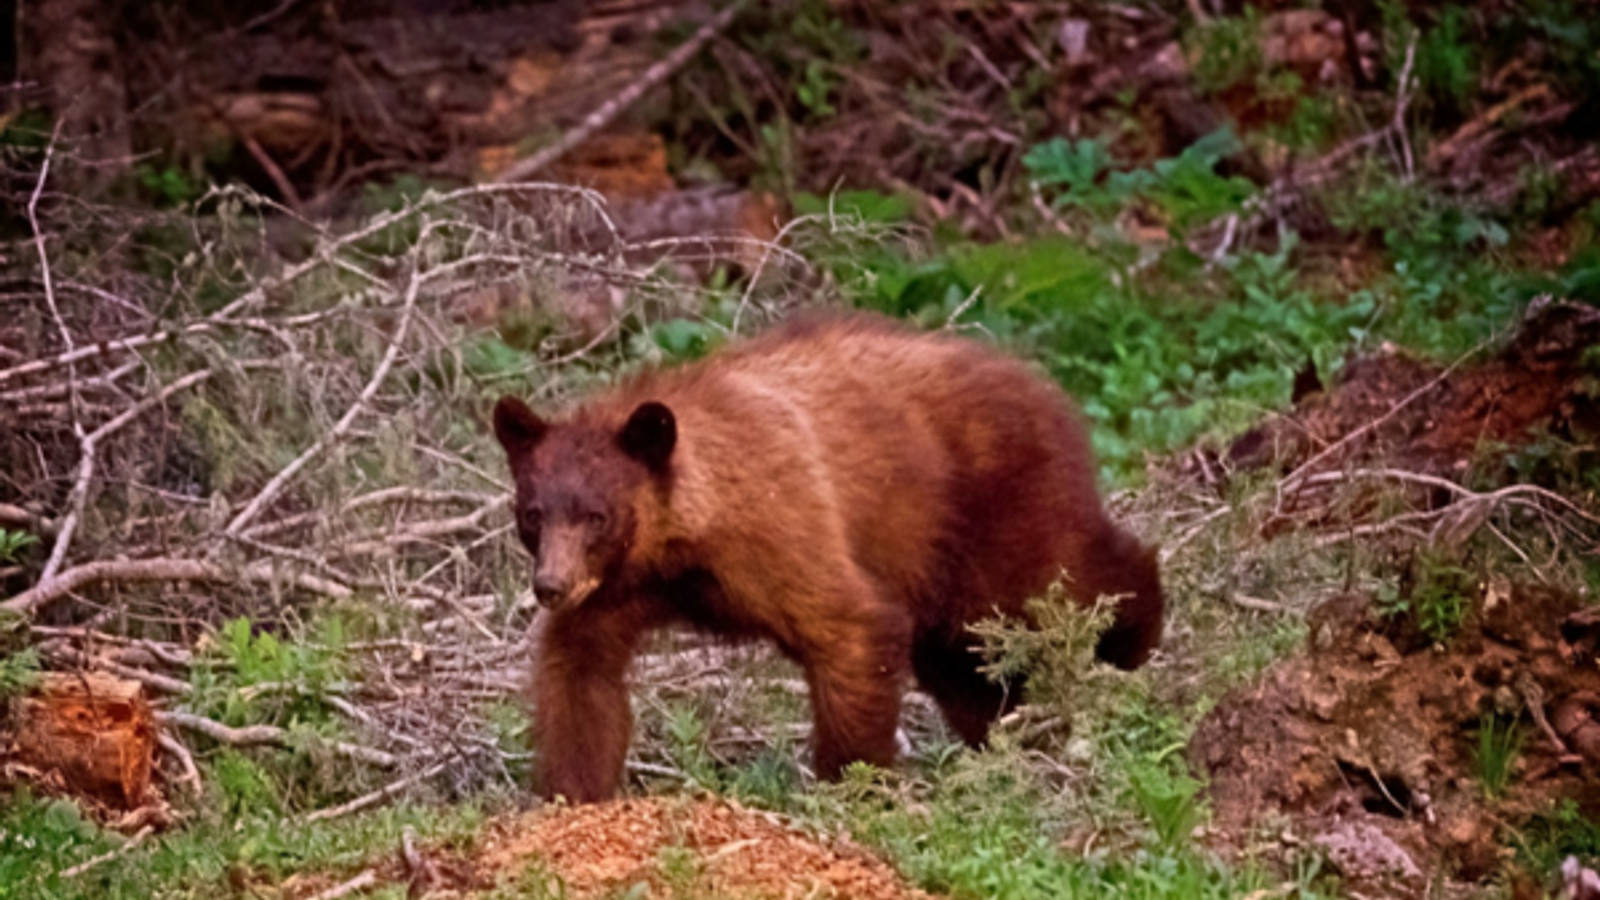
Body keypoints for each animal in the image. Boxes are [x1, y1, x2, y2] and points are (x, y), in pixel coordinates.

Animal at [492, 312, 1163, 803]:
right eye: (533, 514)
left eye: (595, 516)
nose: (550, 586)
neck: (679, 542)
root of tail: (1039, 380)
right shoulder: (618, 586)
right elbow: (581, 672)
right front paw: (570, 793)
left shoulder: (776, 526)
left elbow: (851, 625)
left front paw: (854, 782)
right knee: (966, 664)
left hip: (992, 512)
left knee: (1061, 577)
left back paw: (1133, 639)